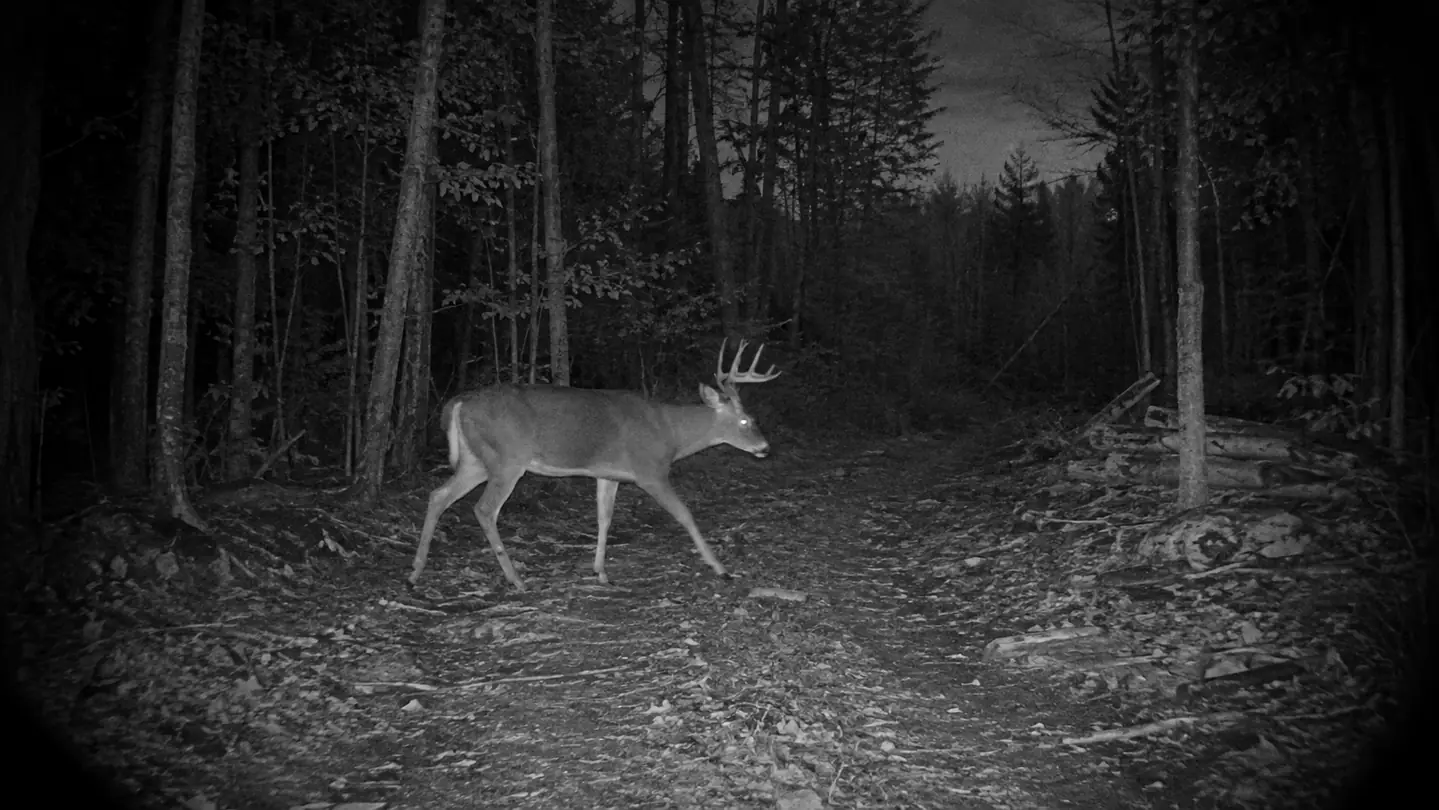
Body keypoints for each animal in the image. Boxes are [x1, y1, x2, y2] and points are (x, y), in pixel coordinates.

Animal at [410, 339, 782, 592]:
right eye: (747, 421)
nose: (765, 448)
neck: (670, 433)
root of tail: (459, 402)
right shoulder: (650, 470)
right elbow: (685, 515)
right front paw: (720, 567)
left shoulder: (609, 473)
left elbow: (604, 519)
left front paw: (600, 571)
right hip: (506, 458)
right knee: (485, 509)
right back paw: (516, 579)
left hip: (476, 460)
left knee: (438, 495)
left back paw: (415, 570)